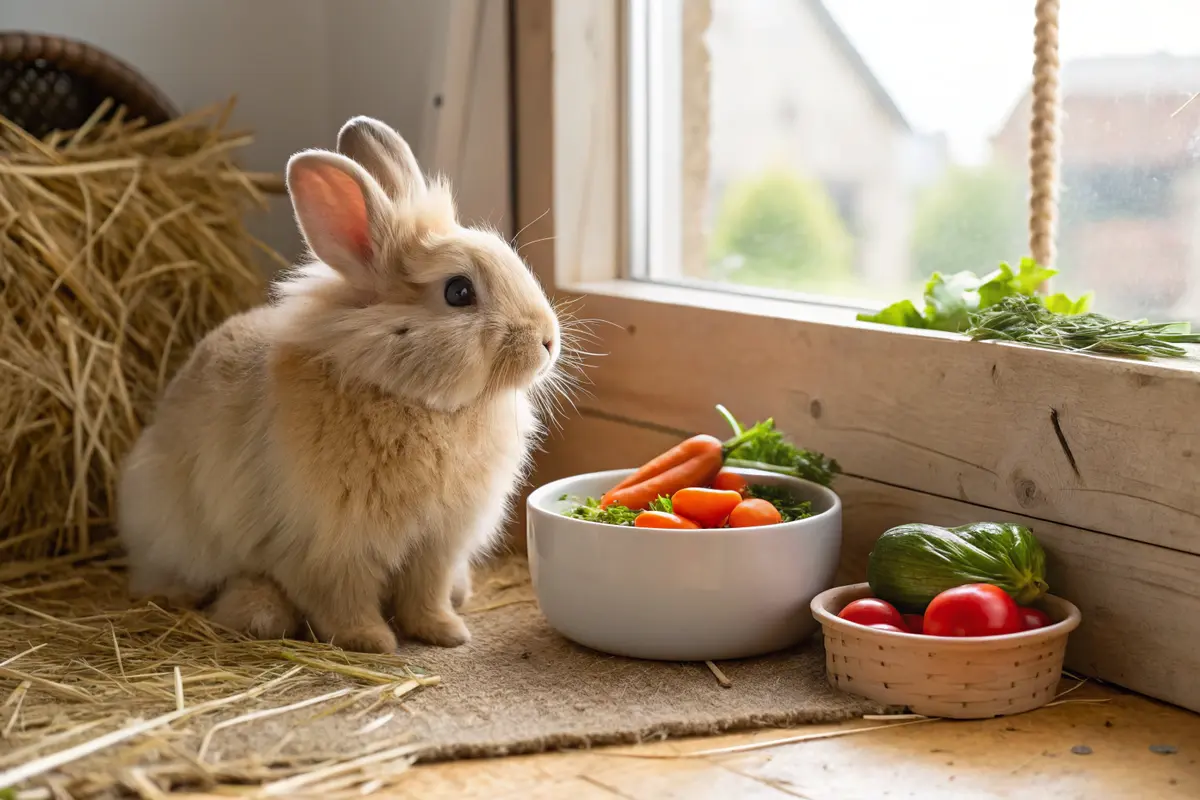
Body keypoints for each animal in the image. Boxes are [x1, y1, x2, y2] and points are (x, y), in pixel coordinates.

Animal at [116, 115, 567, 653]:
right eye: (459, 291)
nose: (547, 341)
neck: (409, 396)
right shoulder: (330, 546)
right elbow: (343, 600)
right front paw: (373, 641)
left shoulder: (437, 543)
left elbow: (426, 593)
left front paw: (446, 633)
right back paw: (255, 609)